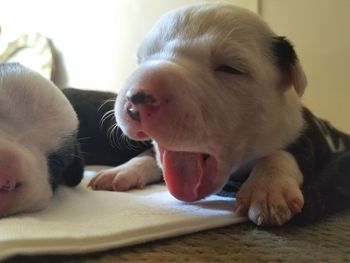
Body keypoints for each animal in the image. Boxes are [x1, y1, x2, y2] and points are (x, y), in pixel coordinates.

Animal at [89, 2, 350, 227]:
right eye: (141, 59)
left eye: (230, 69)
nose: (137, 98)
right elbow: (149, 154)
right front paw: (122, 170)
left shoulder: (305, 134)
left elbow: (284, 153)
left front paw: (267, 189)